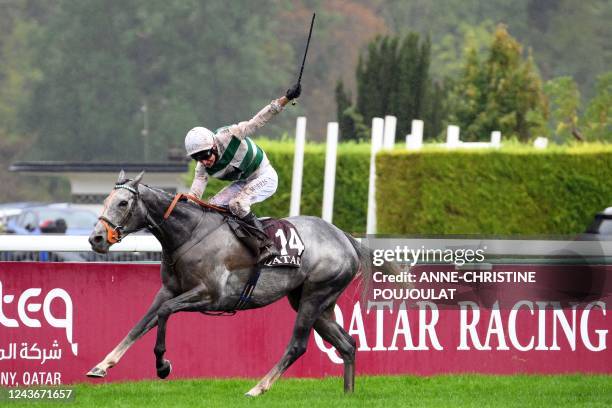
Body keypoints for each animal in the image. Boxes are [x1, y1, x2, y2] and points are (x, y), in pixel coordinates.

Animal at [85, 171, 372, 396]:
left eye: (123, 203)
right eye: (105, 201)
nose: (96, 239)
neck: (189, 234)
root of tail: (345, 237)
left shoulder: (211, 295)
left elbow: (165, 313)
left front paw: (163, 366)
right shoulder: (168, 290)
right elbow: (140, 324)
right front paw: (101, 366)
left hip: (315, 295)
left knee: (298, 345)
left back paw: (258, 388)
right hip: (313, 301)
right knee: (347, 344)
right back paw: (348, 393)